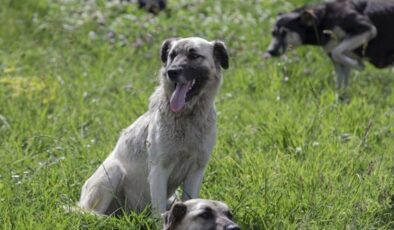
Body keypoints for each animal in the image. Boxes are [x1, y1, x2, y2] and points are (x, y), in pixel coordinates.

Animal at [264, 0, 394, 96]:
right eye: (273, 33)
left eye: (284, 33)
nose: (270, 51)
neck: (324, 19)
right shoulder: (338, 61)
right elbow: (341, 84)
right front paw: (340, 102)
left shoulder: (367, 29)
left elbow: (338, 52)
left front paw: (359, 65)